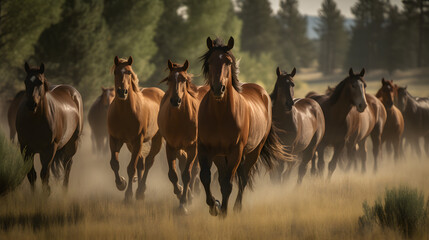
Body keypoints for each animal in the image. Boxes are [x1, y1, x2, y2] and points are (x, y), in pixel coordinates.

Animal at [15, 62, 83, 193]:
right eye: (26, 81)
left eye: (40, 82)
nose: (31, 104)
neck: (34, 121)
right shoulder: (26, 149)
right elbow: (32, 174)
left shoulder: (48, 149)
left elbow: (44, 174)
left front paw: (46, 193)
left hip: (72, 144)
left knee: (67, 166)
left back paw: (64, 191)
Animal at [107, 55, 164, 201]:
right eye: (116, 72)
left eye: (129, 72)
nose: (122, 92)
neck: (124, 113)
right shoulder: (115, 139)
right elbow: (114, 163)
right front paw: (121, 183)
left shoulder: (138, 140)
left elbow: (131, 168)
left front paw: (128, 195)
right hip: (130, 144)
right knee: (141, 163)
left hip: (156, 139)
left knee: (148, 162)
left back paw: (140, 191)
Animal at [158, 59, 210, 213]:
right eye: (169, 79)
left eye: (184, 79)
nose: (176, 100)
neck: (180, 119)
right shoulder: (170, 147)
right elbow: (173, 175)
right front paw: (180, 193)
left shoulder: (193, 147)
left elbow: (187, 175)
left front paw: (183, 204)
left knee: (194, 171)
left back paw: (190, 196)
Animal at [197, 36, 288, 217]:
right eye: (210, 62)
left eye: (228, 62)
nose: (218, 88)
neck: (219, 116)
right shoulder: (205, 149)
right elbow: (206, 177)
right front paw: (214, 205)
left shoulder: (235, 151)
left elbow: (228, 183)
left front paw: (223, 211)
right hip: (221, 156)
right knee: (223, 177)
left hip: (253, 151)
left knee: (243, 178)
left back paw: (237, 207)